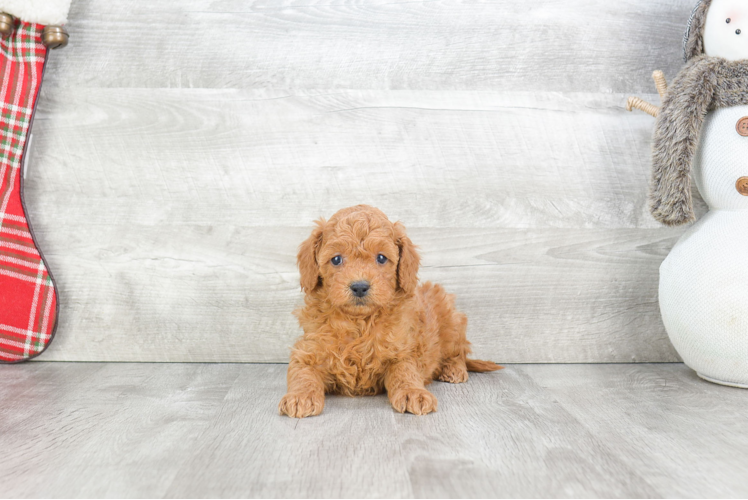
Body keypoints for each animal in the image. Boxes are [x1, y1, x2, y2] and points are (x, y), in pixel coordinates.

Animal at [280, 204, 502, 418]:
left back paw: (453, 370)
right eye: (336, 259)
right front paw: (300, 397)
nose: (359, 286)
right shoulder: (308, 351)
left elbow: (405, 372)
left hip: (451, 319)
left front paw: (413, 393)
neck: (359, 322)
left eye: (381, 258)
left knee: (459, 352)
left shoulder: (403, 350)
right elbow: (302, 374)